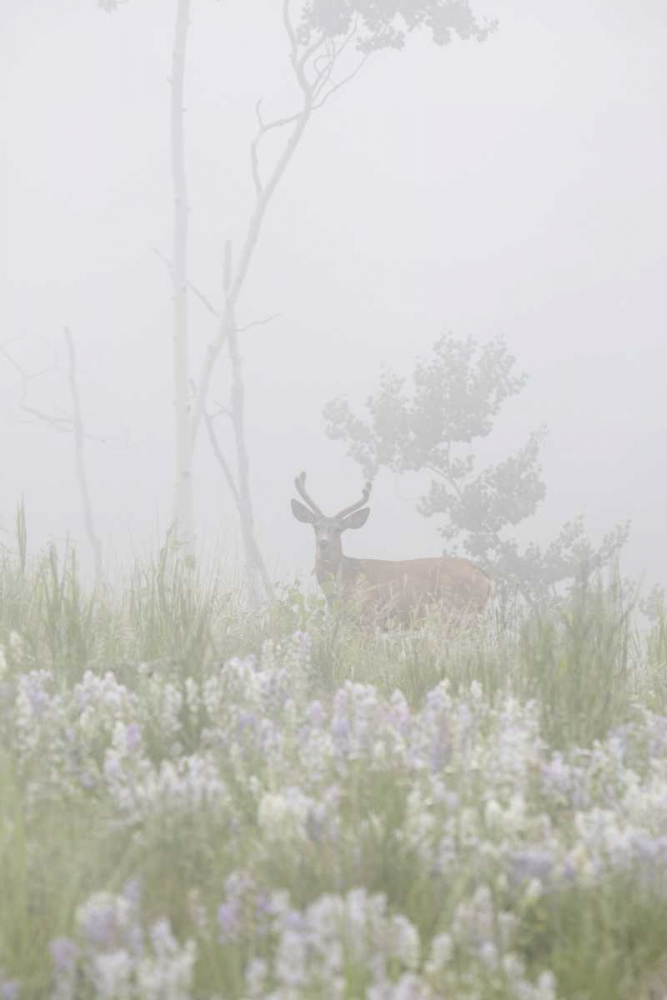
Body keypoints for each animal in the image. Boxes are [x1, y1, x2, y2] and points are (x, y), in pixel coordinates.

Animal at [290, 472, 492, 623]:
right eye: (316, 527)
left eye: (338, 529)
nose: (323, 542)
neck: (347, 575)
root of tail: (485, 576)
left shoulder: (367, 614)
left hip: (457, 610)